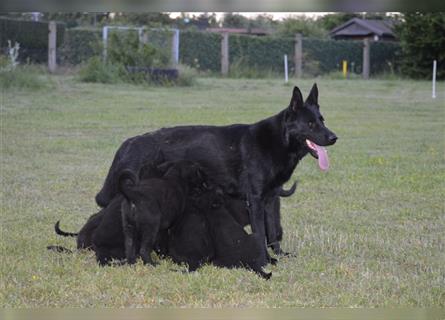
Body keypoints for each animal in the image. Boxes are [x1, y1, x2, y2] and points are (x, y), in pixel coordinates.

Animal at [94, 84, 336, 270]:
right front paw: (265, 259)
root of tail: (128, 143)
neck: (277, 141)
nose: (334, 138)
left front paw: (279, 254)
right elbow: (260, 234)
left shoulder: (269, 200)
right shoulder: (255, 201)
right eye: (310, 124)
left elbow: (273, 232)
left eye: (322, 120)